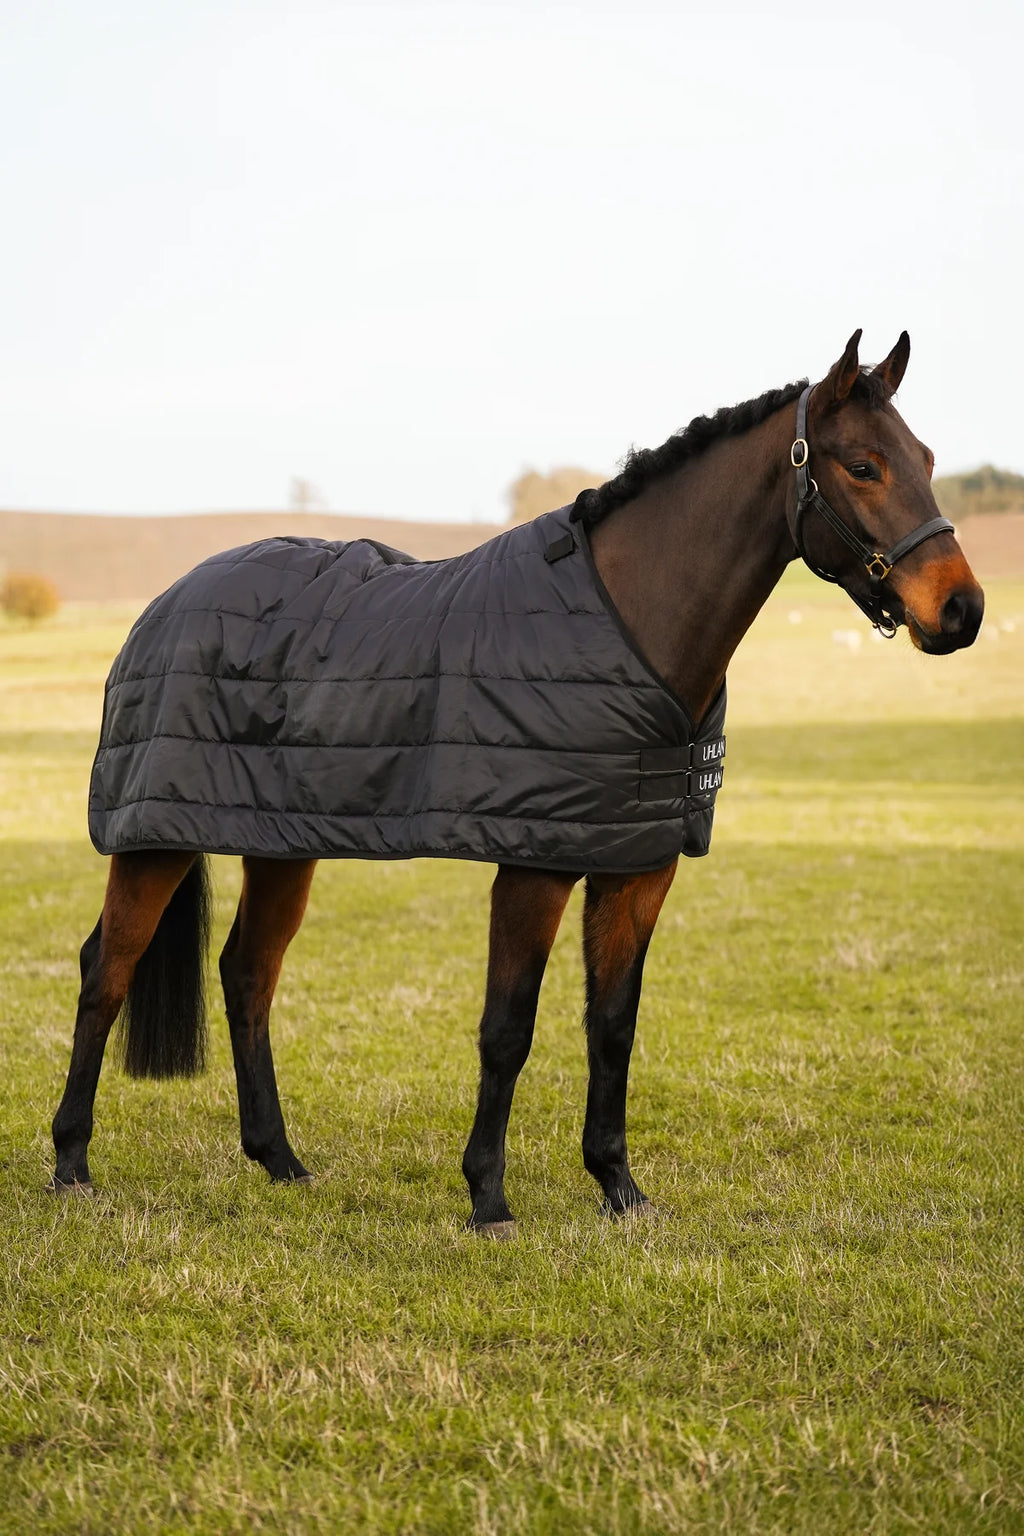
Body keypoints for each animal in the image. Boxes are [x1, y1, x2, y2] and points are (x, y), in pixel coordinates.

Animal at [50, 330, 984, 1234]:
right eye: (862, 465)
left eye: (929, 457)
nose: (963, 610)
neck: (627, 622)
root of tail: (166, 602)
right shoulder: (534, 866)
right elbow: (509, 1030)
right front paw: (488, 1200)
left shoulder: (638, 866)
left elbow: (613, 1026)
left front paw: (619, 1189)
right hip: (155, 838)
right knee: (107, 972)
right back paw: (72, 1166)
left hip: (280, 844)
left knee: (247, 975)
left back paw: (279, 1160)